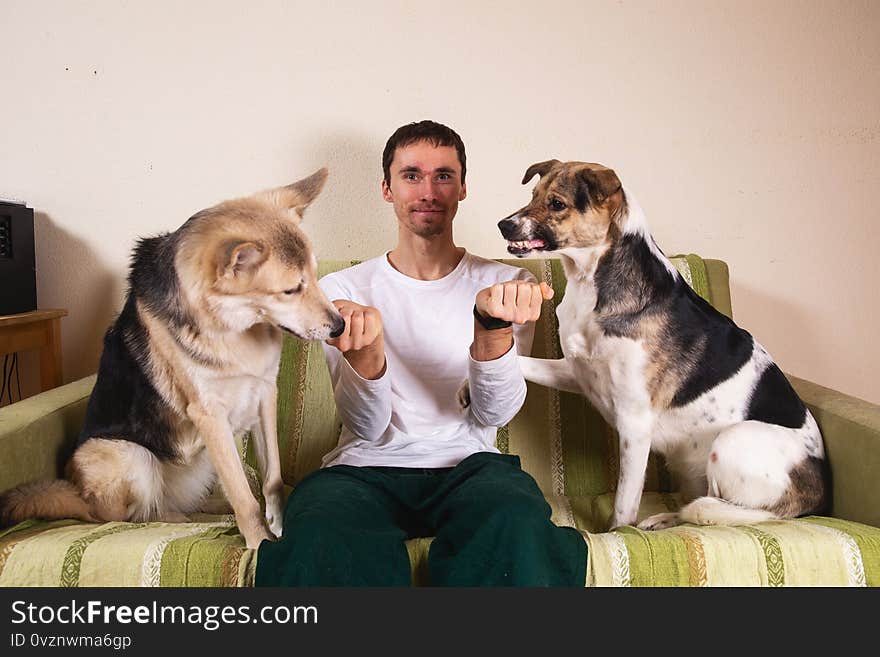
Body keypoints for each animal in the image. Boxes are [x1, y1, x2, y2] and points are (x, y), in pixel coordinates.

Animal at [0, 169, 344, 548]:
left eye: (314, 276)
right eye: (290, 290)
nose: (340, 326)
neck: (232, 326)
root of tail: (77, 497)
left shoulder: (265, 393)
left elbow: (272, 479)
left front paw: (279, 524)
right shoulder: (210, 415)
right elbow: (243, 497)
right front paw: (258, 543)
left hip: (201, 461)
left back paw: (210, 507)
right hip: (132, 456)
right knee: (128, 515)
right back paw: (177, 518)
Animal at [498, 161, 828, 532]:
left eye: (556, 204)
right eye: (533, 195)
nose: (503, 225)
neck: (591, 280)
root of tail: (818, 497)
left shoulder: (635, 422)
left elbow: (624, 504)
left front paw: (616, 534)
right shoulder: (575, 373)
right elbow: (520, 361)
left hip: (731, 441)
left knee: (720, 511)